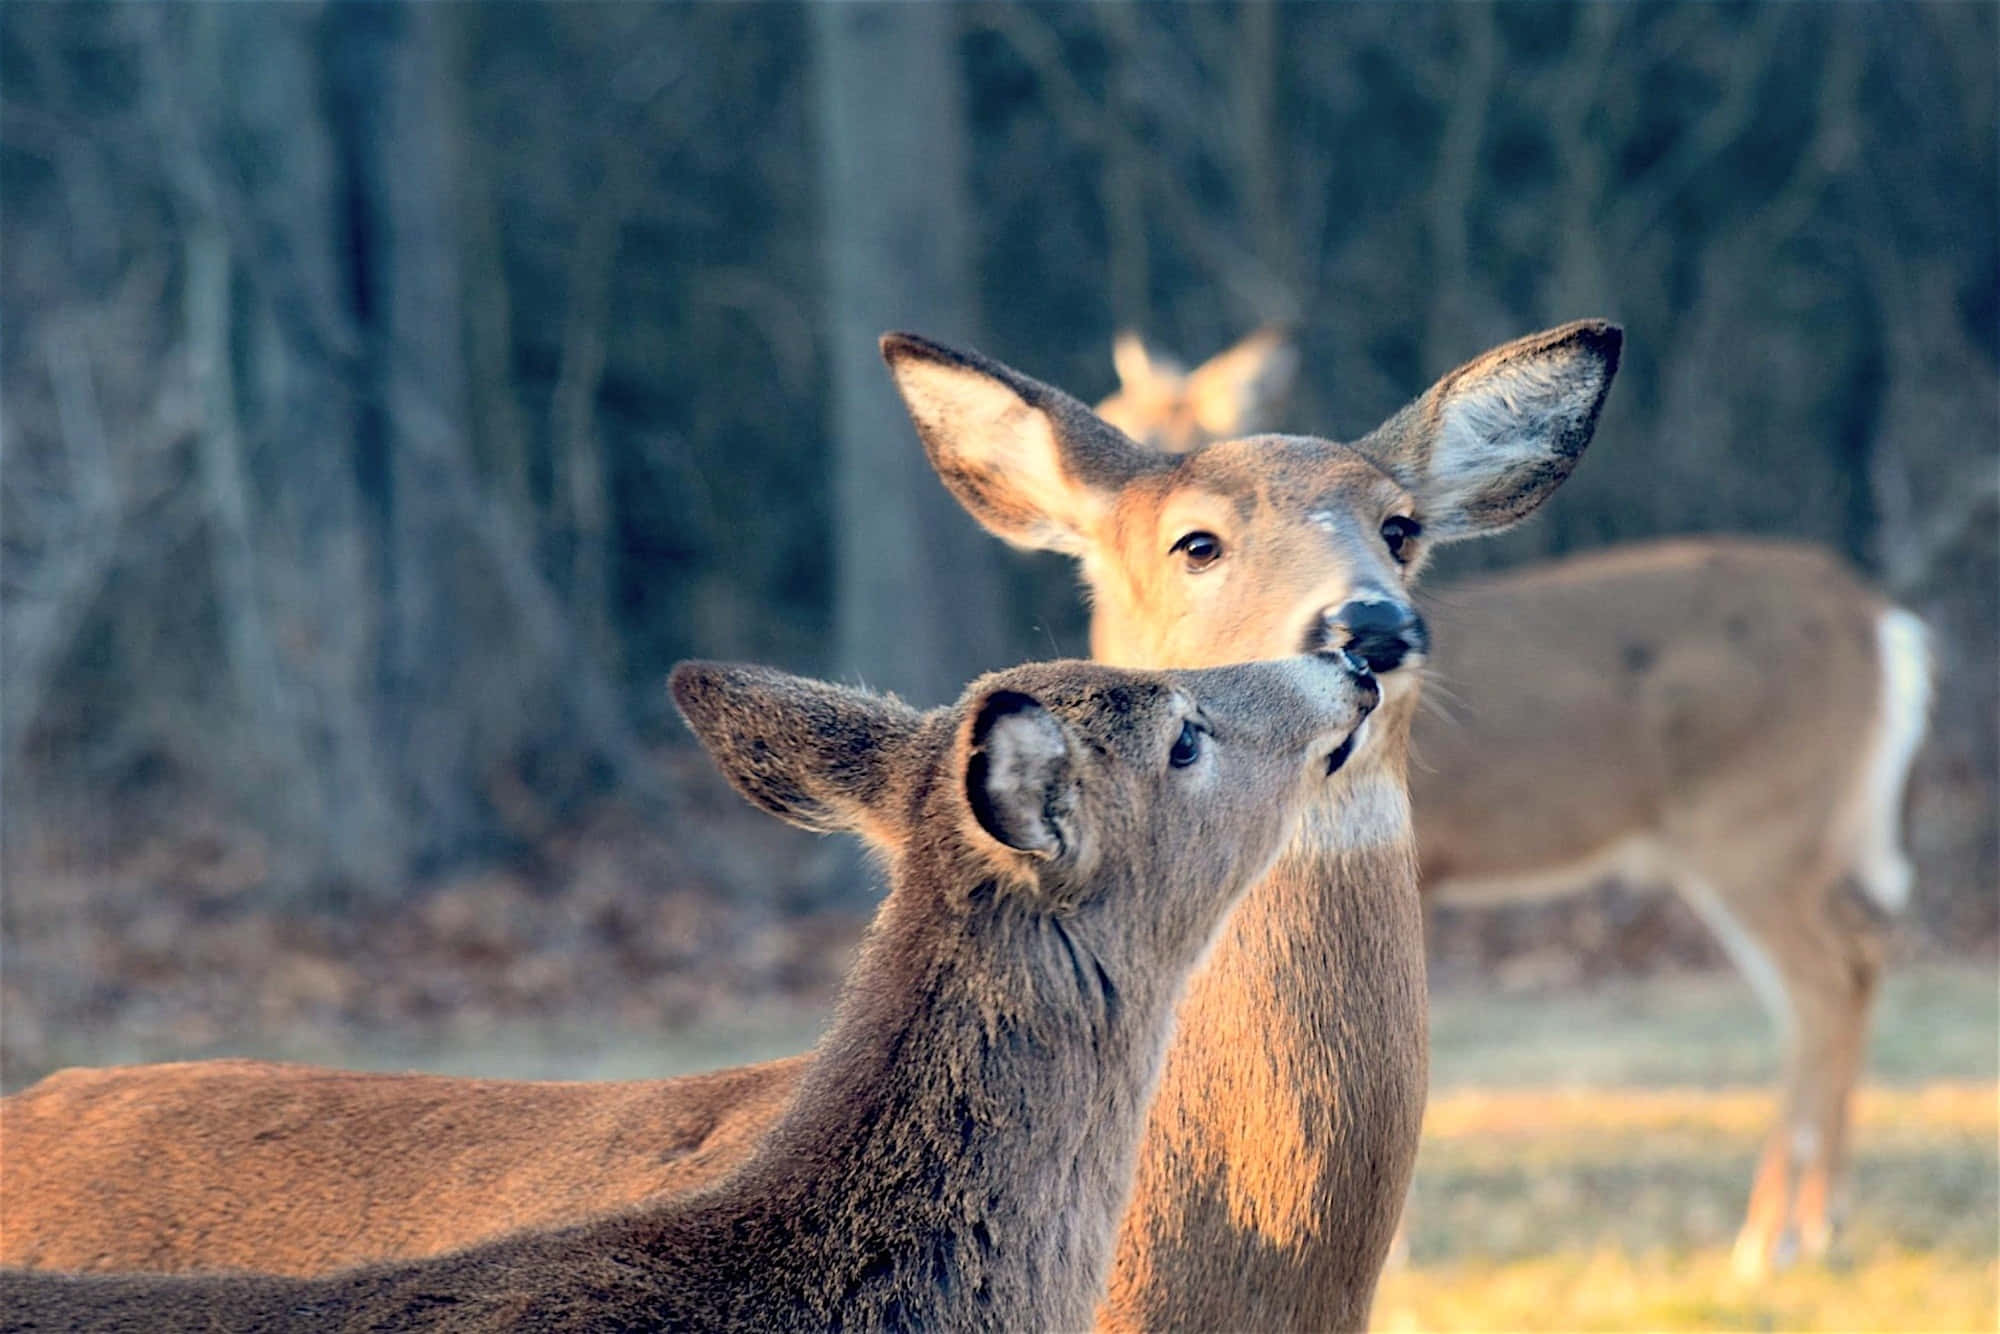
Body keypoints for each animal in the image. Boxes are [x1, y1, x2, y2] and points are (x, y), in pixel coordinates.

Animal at [1097, 329, 1936, 1276]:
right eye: (1122, 415)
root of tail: (1885, 622)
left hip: (1759, 828)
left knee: (1825, 981)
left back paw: (1771, 1238)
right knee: (1851, 966)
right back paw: (1818, 1221)